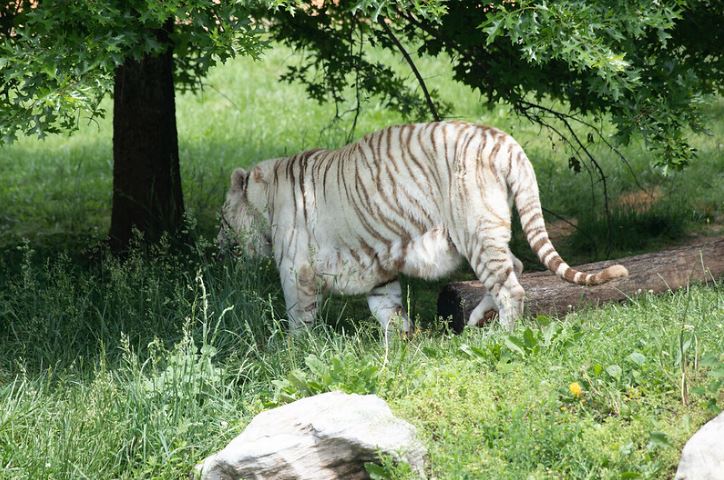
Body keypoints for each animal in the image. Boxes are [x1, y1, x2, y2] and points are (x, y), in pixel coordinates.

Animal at [218, 121, 628, 333]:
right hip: (482, 233)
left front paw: (294, 353)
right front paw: (398, 350)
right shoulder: (378, 267)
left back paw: (501, 336)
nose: (218, 244)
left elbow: (297, 319)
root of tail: (504, 140)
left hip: (475, 230)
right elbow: (390, 312)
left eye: (223, 218)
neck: (267, 197)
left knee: (512, 288)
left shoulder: (295, 271)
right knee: (516, 266)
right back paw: (476, 322)